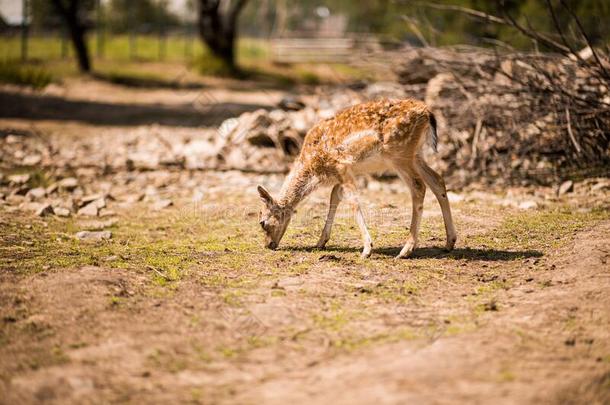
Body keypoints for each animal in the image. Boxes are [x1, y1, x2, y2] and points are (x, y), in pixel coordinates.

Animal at [256, 97, 456, 258]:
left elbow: (352, 201)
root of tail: (427, 113)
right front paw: (320, 242)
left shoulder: (341, 166)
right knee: (438, 180)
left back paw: (406, 250)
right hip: (416, 154)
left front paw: (367, 249)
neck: (314, 168)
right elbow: (334, 197)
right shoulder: (344, 173)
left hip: (399, 153)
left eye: (262, 222)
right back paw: (449, 242)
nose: (268, 245)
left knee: (418, 186)